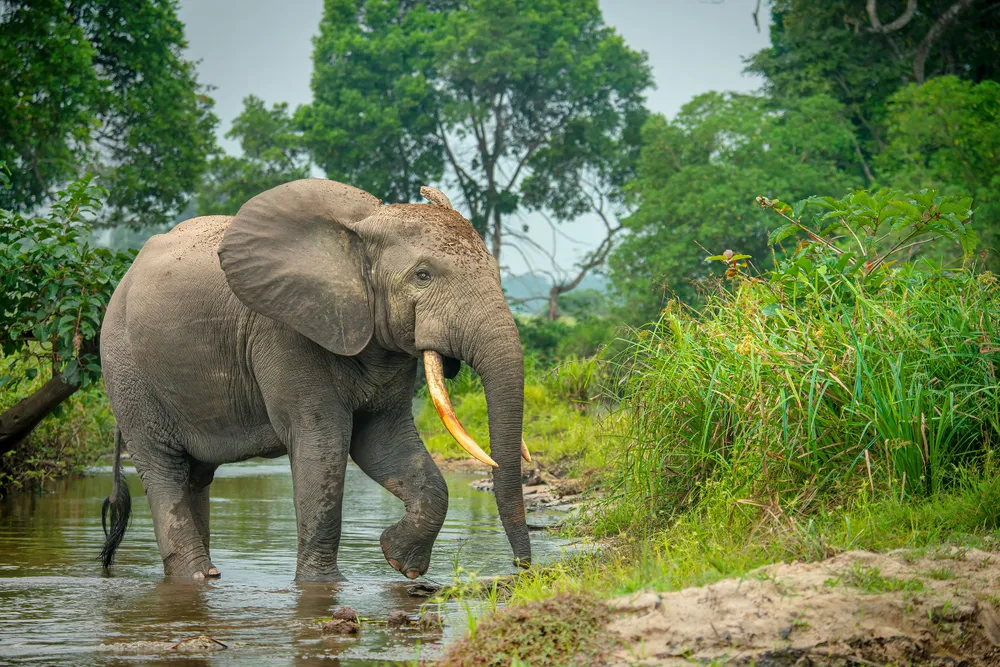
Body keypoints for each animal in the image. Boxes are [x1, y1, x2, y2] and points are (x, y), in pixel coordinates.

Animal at [97, 179, 531, 581]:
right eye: (422, 276)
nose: (523, 570)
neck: (361, 230)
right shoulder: (285, 331)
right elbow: (323, 443)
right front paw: (324, 586)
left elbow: (383, 440)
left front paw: (399, 560)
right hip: (127, 370)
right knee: (164, 468)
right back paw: (196, 576)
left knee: (196, 475)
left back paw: (210, 575)